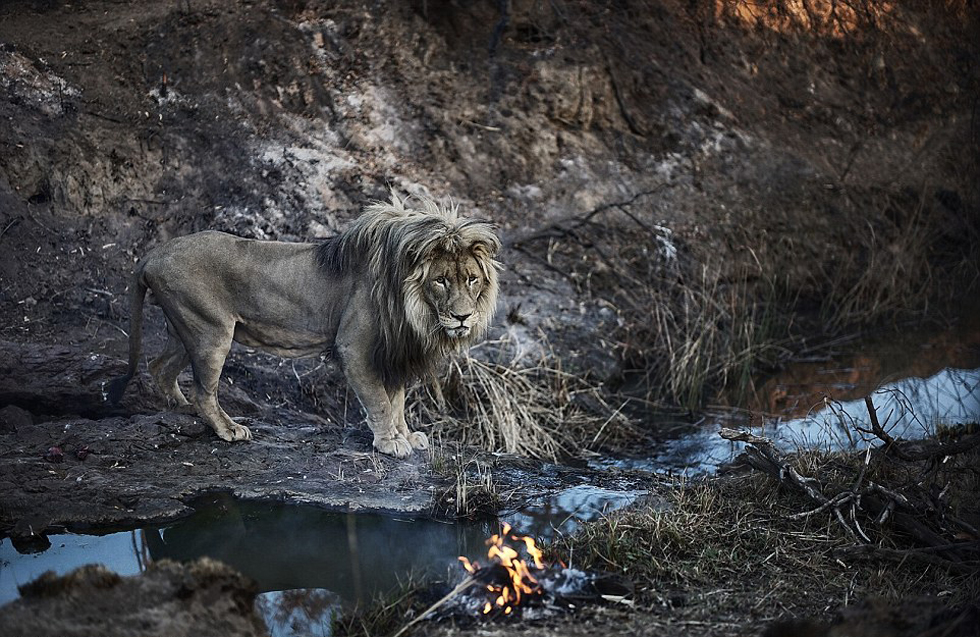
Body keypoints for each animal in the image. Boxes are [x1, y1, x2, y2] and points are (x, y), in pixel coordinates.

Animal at [109, 194, 498, 458]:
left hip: (184, 327)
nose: (463, 317)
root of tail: (154, 253)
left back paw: (181, 409)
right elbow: (381, 402)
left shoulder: (393, 351)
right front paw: (390, 442)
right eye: (441, 281)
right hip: (211, 332)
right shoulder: (355, 348)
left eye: (472, 279)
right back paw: (228, 429)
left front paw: (407, 436)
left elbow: (398, 400)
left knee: (159, 367)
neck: (412, 306)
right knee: (204, 392)